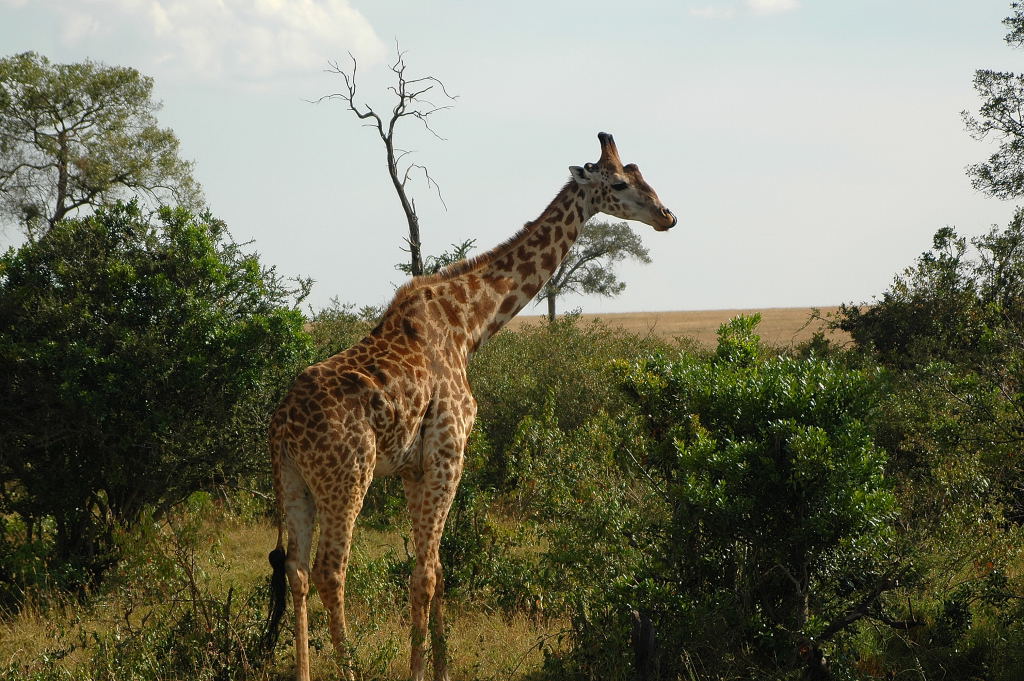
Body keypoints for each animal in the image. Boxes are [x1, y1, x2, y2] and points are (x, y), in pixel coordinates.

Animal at [264, 132, 677, 681]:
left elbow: (436, 569)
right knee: (332, 570)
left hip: (293, 479)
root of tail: (281, 425)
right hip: (347, 476)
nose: (667, 216)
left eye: (640, 174)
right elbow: (425, 572)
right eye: (620, 184)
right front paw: (419, 671)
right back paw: (349, 668)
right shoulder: (447, 451)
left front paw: (440, 667)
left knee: (297, 570)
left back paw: (305, 671)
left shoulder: (414, 467)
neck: (470, 325)